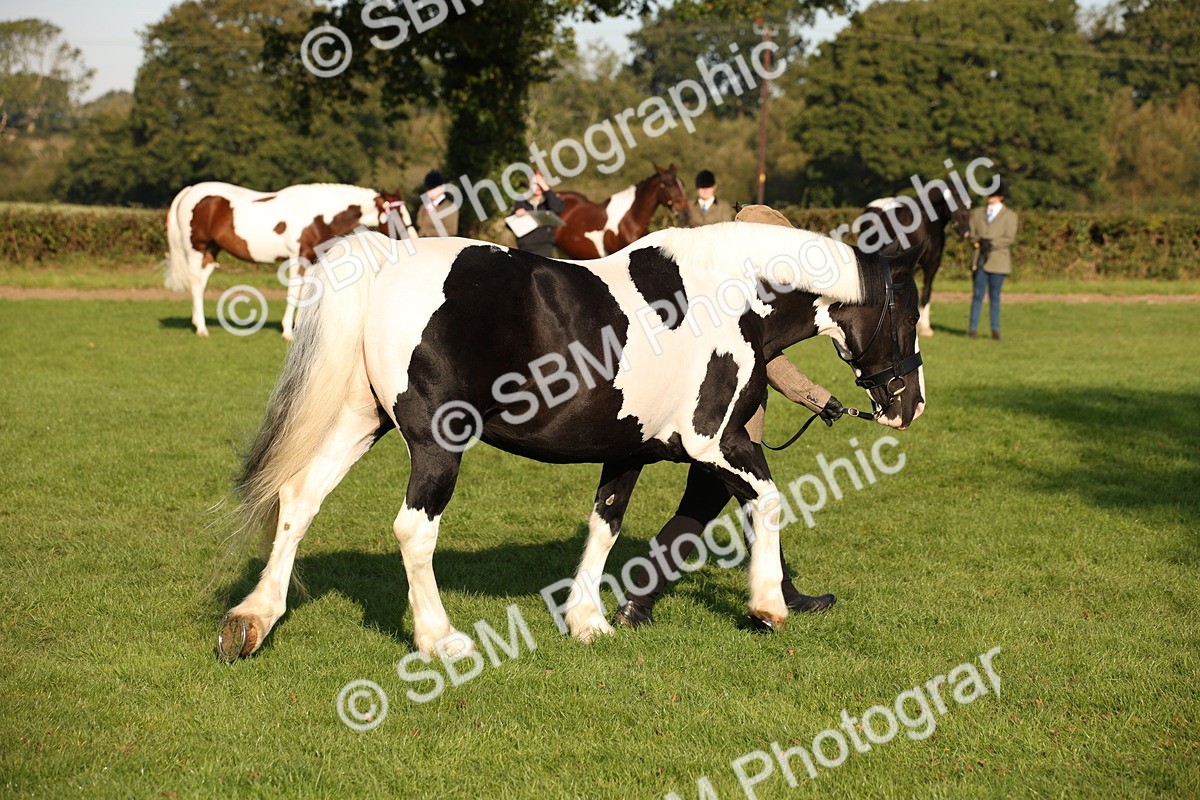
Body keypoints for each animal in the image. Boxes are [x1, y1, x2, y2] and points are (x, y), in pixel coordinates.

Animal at [164, 182, 416, 339]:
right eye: (396, 214)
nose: (412, 238)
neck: (319, 214)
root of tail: (190, 190)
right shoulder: (299, 257)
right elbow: (294, 292)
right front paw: (287, 331)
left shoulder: (314, 259)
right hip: (196, 250)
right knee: (196, 285)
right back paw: (201, 329)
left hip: (211, 251)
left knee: (202, 284)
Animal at [215, 220, 926, 661]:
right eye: (910, 315)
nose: (909, 406)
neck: (730, 298)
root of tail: (386, 264)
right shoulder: (715, 445)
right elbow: (769, 502)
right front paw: (769, 606)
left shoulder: (629, 449)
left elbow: (604, 525)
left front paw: (589, 621)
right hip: (438, 444)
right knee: (412, 530)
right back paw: (440, 639)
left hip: (360, 421)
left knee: (299, 498)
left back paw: (251, 621)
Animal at [853, 188, 971, 337]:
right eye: (952, 203)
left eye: (968, 205)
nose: (966, 232)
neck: (926, 226)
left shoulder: (932, 267)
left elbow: (926, 294)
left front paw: (925, 328)